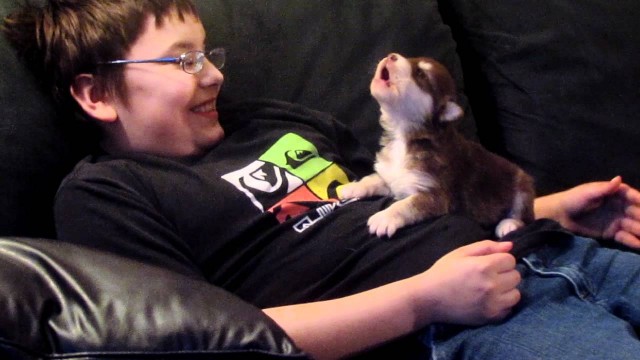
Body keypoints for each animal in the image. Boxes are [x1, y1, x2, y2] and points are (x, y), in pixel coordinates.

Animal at [340, 53, 536, 238]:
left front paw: (384, 217)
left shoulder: (435, 196)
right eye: (411, 58)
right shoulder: (393, 177)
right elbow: (373, 179)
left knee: (522, 215)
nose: (391, 55)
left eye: (420, 74)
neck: (403, 135)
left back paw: (508, 224)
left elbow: (406, 205)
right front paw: (352, 187)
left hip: (522, 185)